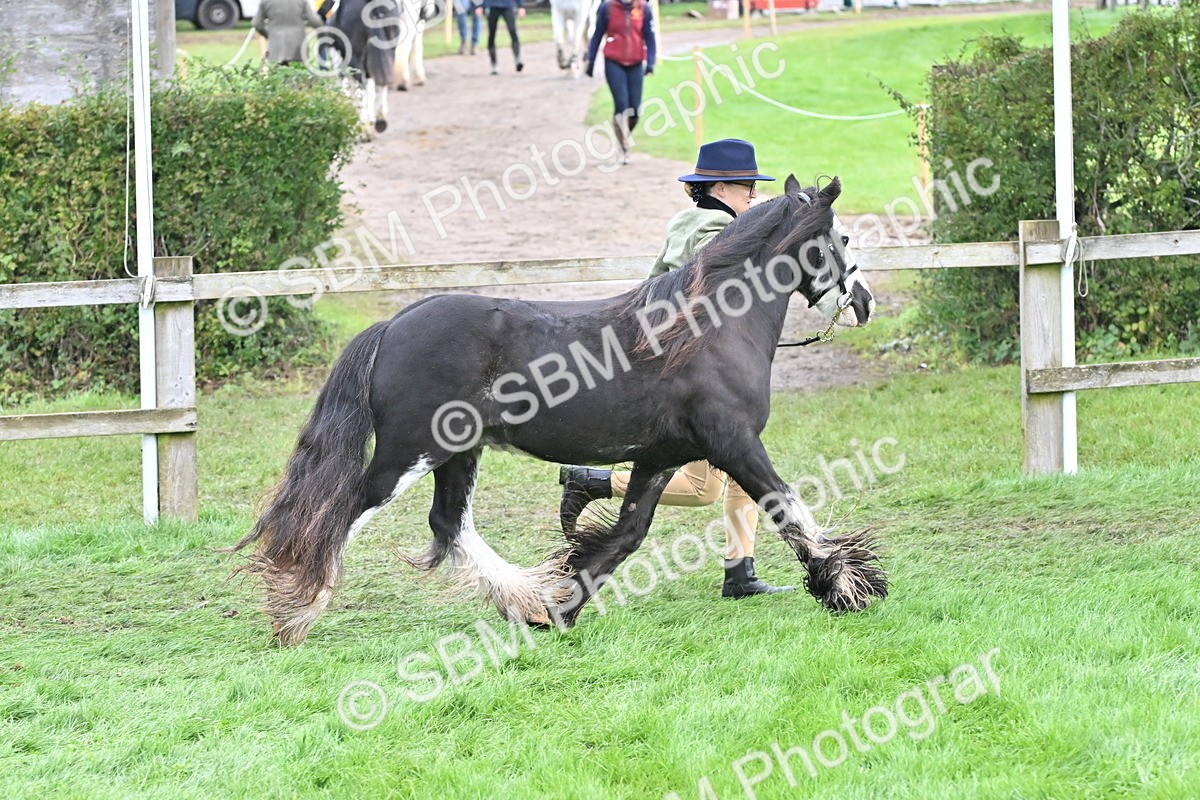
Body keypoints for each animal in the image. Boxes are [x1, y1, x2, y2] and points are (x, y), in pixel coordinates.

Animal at [233, 175, 888, 646]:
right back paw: (297, 615)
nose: (865, 302)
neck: (706, 328)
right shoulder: (735, 443)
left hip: (457, 452)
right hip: (409, 453)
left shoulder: (661, 458)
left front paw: (562, 607)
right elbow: (788, 505)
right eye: (842, 239)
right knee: (343, 512)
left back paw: (524, 599)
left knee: (449, 524)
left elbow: (623, 538)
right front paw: (849, 585)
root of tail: (393, 325)